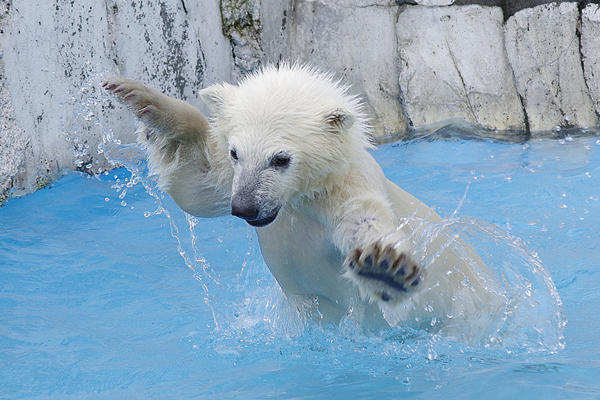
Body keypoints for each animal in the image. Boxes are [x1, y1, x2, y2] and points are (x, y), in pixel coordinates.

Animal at [104, 64, 502, 330]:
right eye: (235, 153)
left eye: (280, 159)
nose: (244, 207)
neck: (302, 199)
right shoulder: (231, 180)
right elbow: (195, 183)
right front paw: (139, 96)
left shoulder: (347, 188)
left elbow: (364, 219)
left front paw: (384, 269)